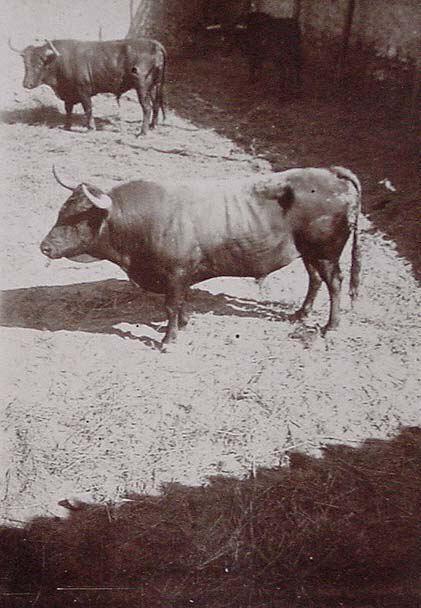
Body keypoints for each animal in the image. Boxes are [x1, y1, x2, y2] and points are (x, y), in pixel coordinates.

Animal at [8, 37, 166, 134]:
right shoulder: (69, 94)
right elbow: (68, 109)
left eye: (41, 63)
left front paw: (90, 127)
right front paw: (67, 126)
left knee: (147, 107)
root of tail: (153, 44)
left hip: (142, 86)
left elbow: (88, 108)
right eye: (25, 63)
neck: (60, 61)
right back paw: (152, 126)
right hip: (154, 86)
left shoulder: (83, 90)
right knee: (156, 105)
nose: (26, 84)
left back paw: (142, 132)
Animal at [40, 166, 360, 350]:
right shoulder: (180, 277)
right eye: (61, 211)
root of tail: (330, 173)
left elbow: (171, 306)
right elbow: (181, 303)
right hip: (309, 253)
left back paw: (330, 326)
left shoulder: (176, 273)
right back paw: (300, 314)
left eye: (78, 218)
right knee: (314, 280)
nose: (45, 247)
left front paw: (168, 340)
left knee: (334, 283)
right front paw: (184, 323)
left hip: (326, 253)